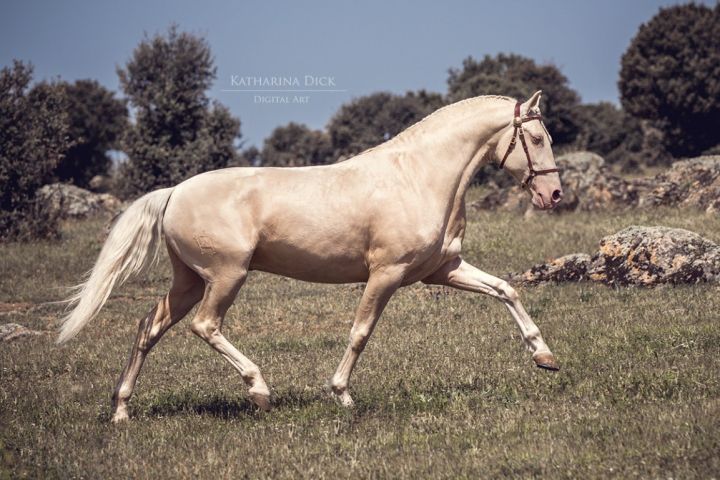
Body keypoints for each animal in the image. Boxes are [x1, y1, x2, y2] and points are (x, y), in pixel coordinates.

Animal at [57, 89, 564, 420]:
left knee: (149, 327)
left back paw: (122, 410)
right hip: (226, 276)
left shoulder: (442, 269)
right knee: (205, 326)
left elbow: (506, 290)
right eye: (538, 139)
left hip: (189, 280)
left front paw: (544, 357)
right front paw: (342, 396)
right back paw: (260, 391)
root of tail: (175, 191)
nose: (554, 195)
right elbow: (360, 332)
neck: (418, 177)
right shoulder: (386, 273)